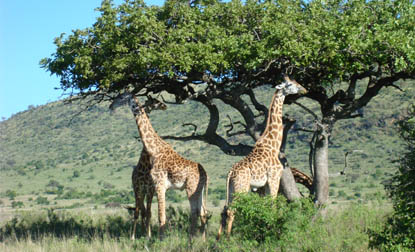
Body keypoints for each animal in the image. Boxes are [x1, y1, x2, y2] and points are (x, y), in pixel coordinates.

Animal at [218, 76, 308, 239]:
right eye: (290, 84)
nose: (304, 89)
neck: (273, 145)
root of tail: (230, 173)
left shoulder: (264, 185)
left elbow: (266, 207)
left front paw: (265, 228)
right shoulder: (274, 178)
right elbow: (273, 206)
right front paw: (272, 230)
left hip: (232, 188)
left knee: (224, 210)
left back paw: (217, 239)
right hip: (241, 188)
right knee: (232, 211)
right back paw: (228, 239)